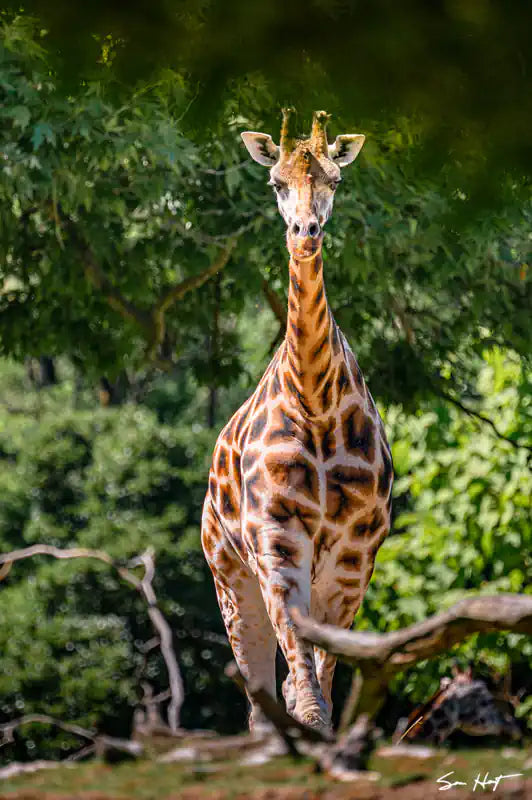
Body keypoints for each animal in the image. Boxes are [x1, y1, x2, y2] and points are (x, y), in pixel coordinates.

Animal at [202, 109, 392, 736]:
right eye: (276, 182)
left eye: (335, 180)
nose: (305, 232)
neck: (316, 398)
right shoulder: (276, 535)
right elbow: (298, 665)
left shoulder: (356, 550)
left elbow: (326, 665)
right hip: (228, 574)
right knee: (258, 684)